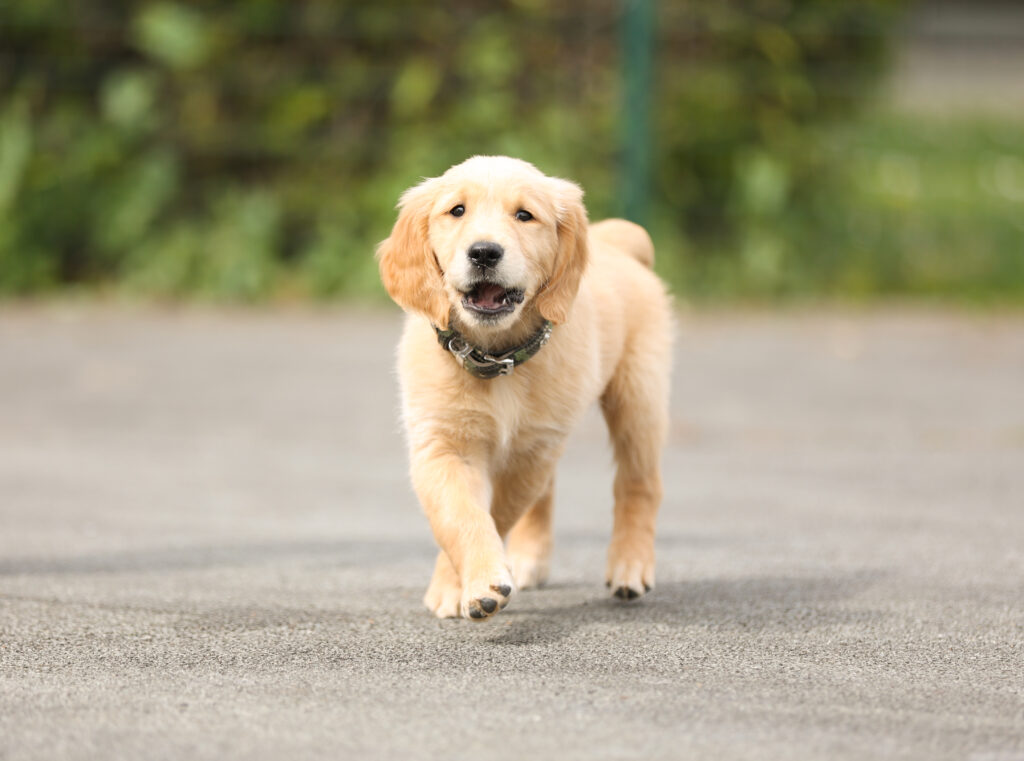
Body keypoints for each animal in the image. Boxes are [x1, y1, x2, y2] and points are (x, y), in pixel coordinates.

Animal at [376, 156, 671, 618]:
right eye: (456, 211)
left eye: (524, 215)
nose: (483, 252)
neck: (496, 359)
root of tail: (619, 247)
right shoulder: (444, 445)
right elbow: (460, 515)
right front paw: (467, 584)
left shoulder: (531, 451)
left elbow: (496, 513)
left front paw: (462, 584)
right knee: (546, 494)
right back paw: (530, 559)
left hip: (639, 394)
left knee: (638, 483)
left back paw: (630, 566)